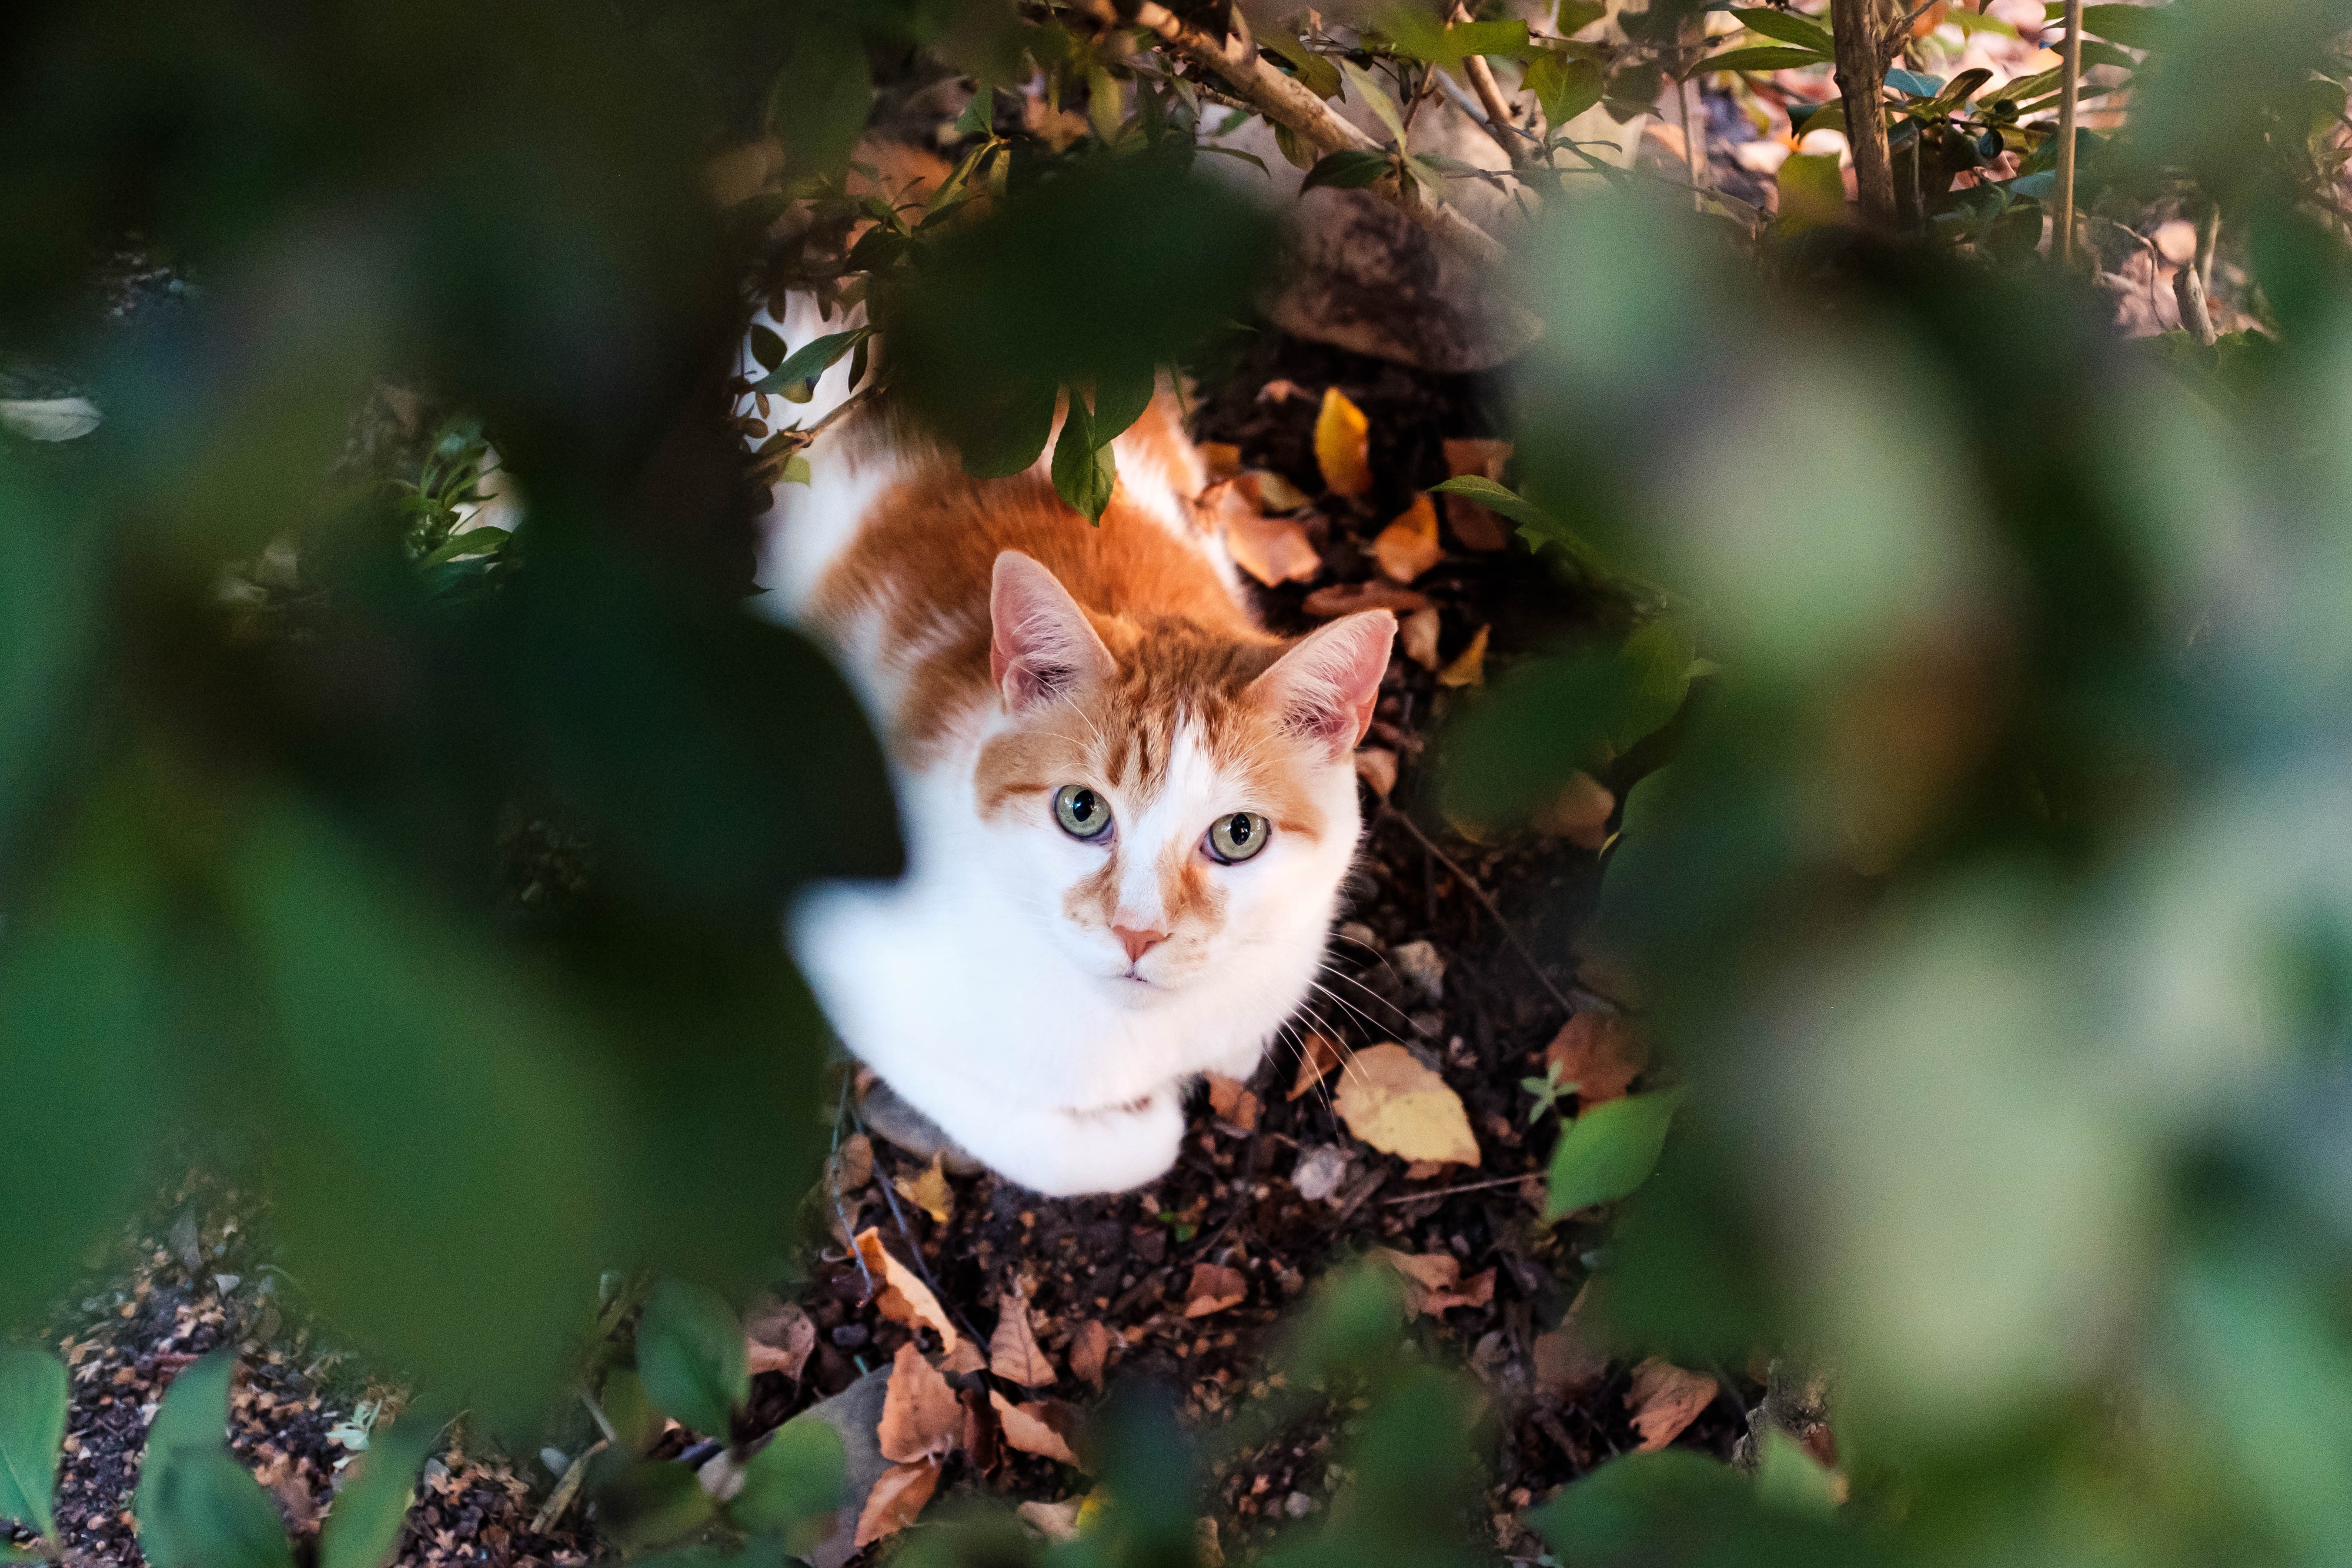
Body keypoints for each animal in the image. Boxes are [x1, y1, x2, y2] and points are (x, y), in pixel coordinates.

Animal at [753, 300, 1383, 1194]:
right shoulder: (841, 953)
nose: (1137, 934)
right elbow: (1081, 1146)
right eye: (1081, 811)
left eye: (1239, 835)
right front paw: (1150, 1118)